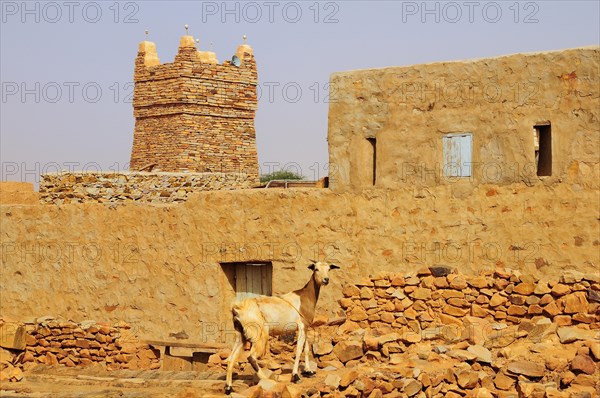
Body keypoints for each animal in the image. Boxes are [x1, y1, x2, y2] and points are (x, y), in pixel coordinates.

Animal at [224, 262, 340, 394]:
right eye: (316, 269)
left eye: (329, 269)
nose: (326, 280)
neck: (304, 297)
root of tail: (237, 308)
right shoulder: (301, 326)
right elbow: (298, 350)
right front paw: (296, 376)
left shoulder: (305, 327)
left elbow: (306, 349)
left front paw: (308, 371)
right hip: (259, 335)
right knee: (251, 357)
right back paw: (267, 380)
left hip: (241, 335)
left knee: (231, 358)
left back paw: (229, 387)